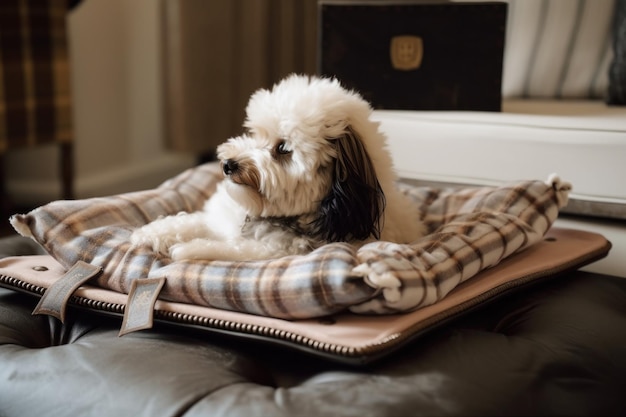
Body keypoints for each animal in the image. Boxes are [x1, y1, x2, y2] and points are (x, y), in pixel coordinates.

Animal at [132, 73, 424, 258]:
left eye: (282, 149)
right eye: (253, 133)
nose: (228, 164)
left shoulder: (270, 250)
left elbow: (227, 248)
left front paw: (188, 249)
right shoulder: (221, 219)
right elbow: (188, 221)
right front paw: (149, 233)